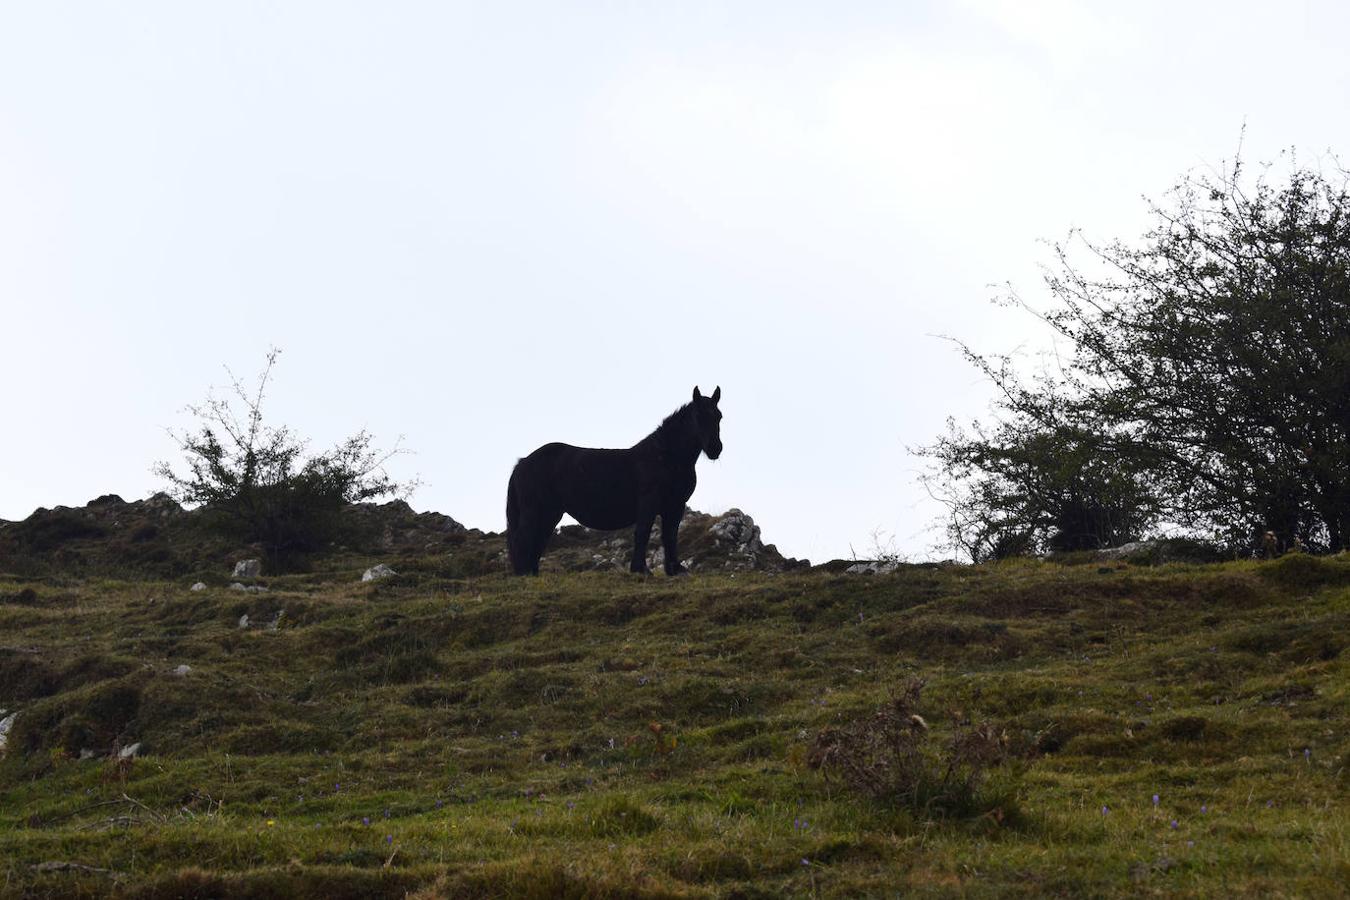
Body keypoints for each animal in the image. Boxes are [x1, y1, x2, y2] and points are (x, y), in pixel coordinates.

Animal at [507, 388, 723, 577]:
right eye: (698, 416)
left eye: (719, 416)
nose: (715, 449)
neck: (665, 457)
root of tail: (522, 462)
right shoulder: (649, 503)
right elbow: (643, 533)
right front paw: (641, 570)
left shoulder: (675, 505)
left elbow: (670, 536)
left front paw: (675, 570)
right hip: (535, 511)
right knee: (523, 539)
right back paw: (523, 574)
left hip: (551, 513)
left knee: (537, 541)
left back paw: (532, 574)